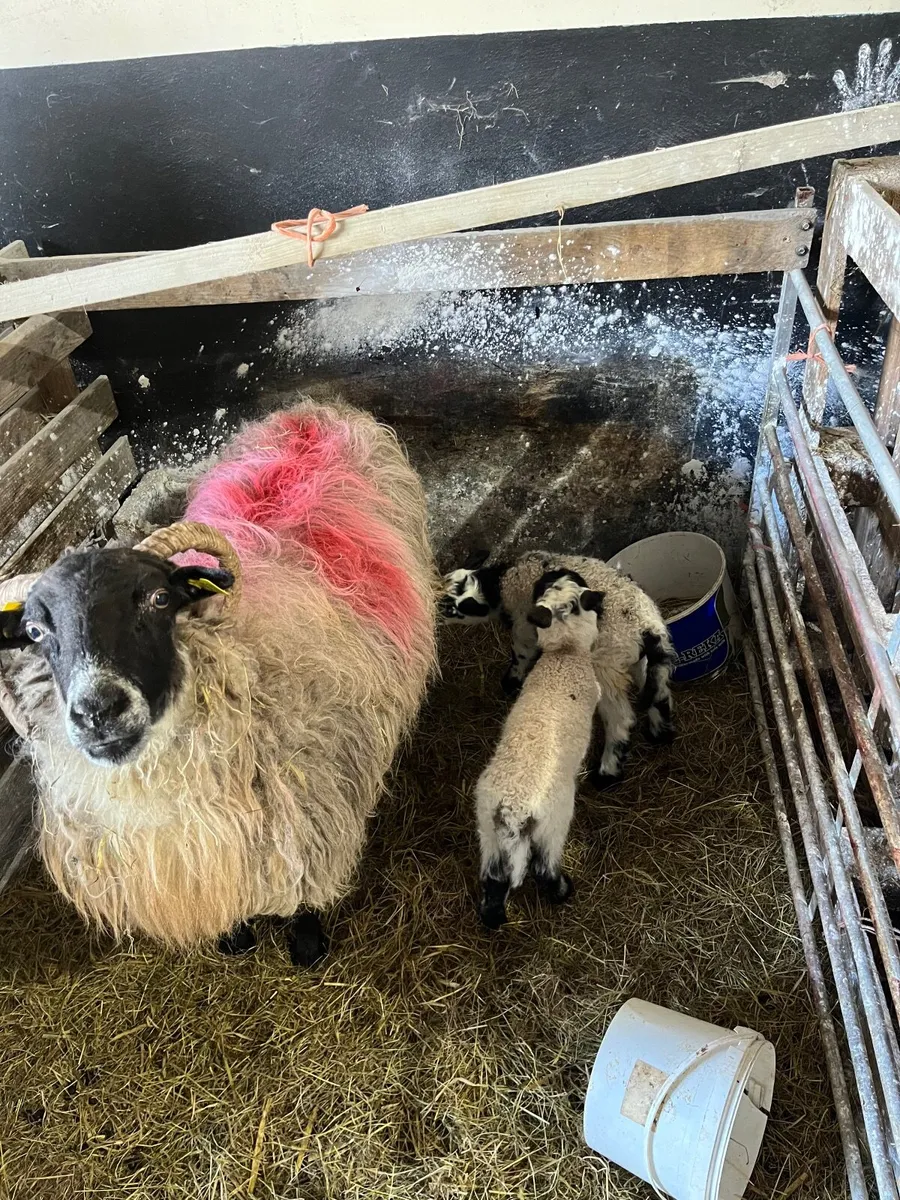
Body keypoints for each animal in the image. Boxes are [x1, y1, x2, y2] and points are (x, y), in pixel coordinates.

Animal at [0, 398, 436, 966]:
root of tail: (317, 409)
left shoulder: (312, 813)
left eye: (159, 599)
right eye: (35, 630)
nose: (99, 710)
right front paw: (236, 939)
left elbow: (304, 894)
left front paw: (308, 946)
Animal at [441, 550, 675, 786]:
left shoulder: (523, 627)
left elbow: (520, 655)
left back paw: (607, 773)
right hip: (639, 661)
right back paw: (660, 734)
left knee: (621, 719)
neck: (502, 580)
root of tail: (648, 628)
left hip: (607, 664)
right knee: (660, 693)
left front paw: (510, 684)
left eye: (453, 609)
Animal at [475, 571, 603, 928]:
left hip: (487, 830)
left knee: (494, 878)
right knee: (543, 867)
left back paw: (494, 920)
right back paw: (563, 891)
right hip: (553, 822)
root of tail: (512, 809)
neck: (564, 655)